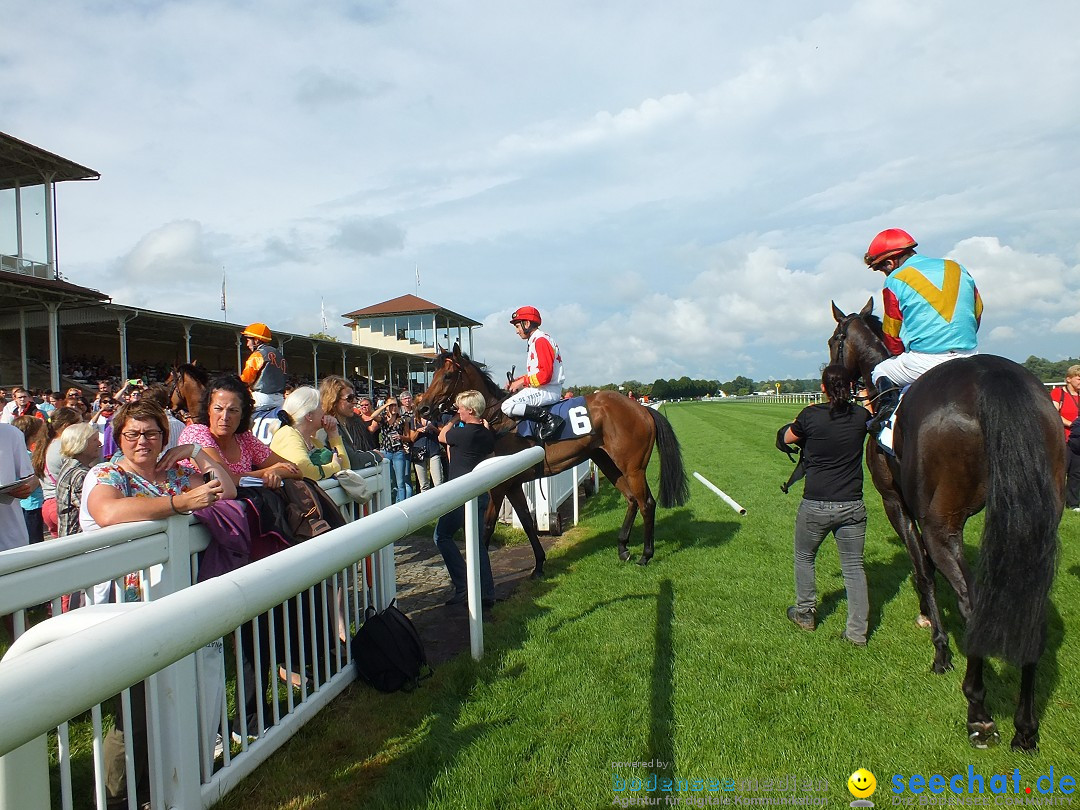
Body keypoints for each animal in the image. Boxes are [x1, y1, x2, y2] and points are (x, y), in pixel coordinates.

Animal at [416, 345, 686, 574]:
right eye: (433, 373)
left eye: (448, 375)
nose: (423, 409)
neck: (498, 422)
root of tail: (642, 409)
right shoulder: (513, 484)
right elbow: (527, 522)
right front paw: (538, 565)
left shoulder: (499, 486)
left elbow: (487, 527)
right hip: (607, 461)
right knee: (631, 500)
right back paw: (622, 548)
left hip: (633, 467)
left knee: (646, 503)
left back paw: (645, 555)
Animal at [829, 300, 1058, 756]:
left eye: (834, 340)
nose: (830, 384)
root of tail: (993, 379)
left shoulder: (895, 502)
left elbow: (922, 570)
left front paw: (939, 649)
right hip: (1041, 521)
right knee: (1031, 608)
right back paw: (1025, 727)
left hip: (941, 524)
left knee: (973, 603)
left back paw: (979, 712)